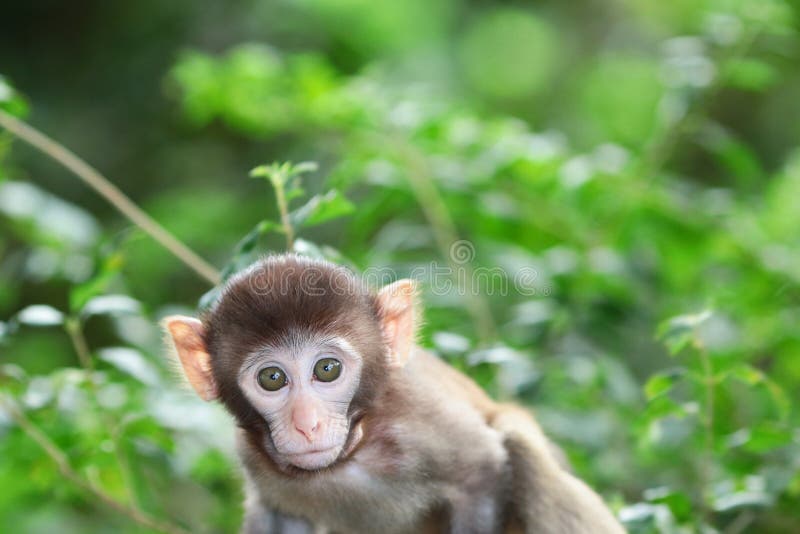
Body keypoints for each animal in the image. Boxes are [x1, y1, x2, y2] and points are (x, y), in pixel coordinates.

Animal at [164, 256, 624, 534]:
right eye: (272, 378)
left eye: (327, 369)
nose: (307, 424)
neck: (351, 454)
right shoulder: (254, 460)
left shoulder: (422, 419)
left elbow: (484, 471)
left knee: (520, 446)